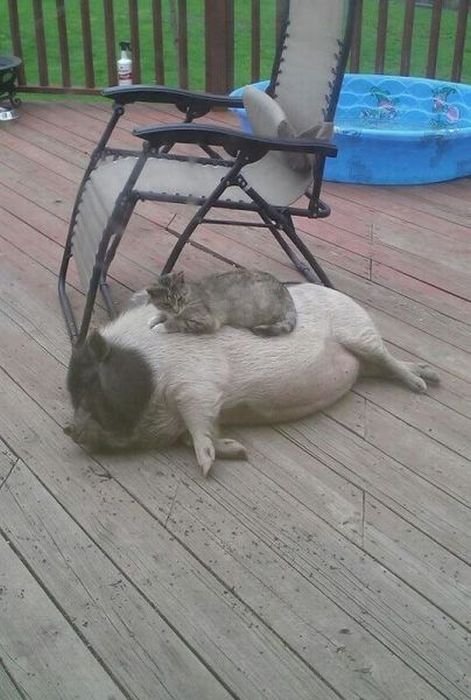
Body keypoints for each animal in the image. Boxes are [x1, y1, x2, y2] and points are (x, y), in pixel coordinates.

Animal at [146, 269, 297, 336]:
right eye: (166, 304)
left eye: (179, 298)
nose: (177, 309)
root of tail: (285, 291)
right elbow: (164, 315)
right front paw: (155, 319)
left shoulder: (206, 321)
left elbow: (178, 323)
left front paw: (161, 326)